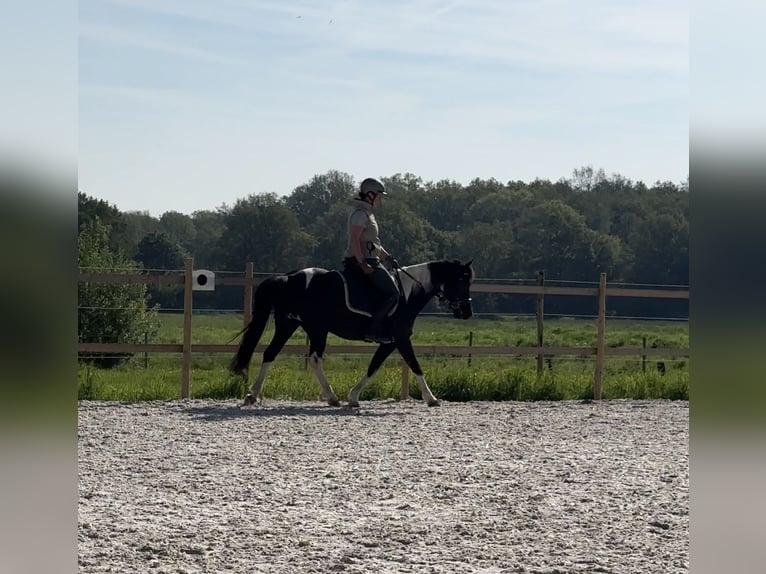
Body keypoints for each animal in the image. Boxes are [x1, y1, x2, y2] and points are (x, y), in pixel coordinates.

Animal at [228, 260, 474, 410]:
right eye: (462, 280)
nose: (467, 312)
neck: (408, 293)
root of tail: (287, 278)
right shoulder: (401, 338)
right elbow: (415, 365)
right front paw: (431, 399)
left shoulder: (389, 343)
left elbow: (373, 366)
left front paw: (354, 397)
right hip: (317, 329)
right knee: (314, 359)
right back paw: (331, 397)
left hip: (289, 325)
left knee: (270, 353)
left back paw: (252, 395)